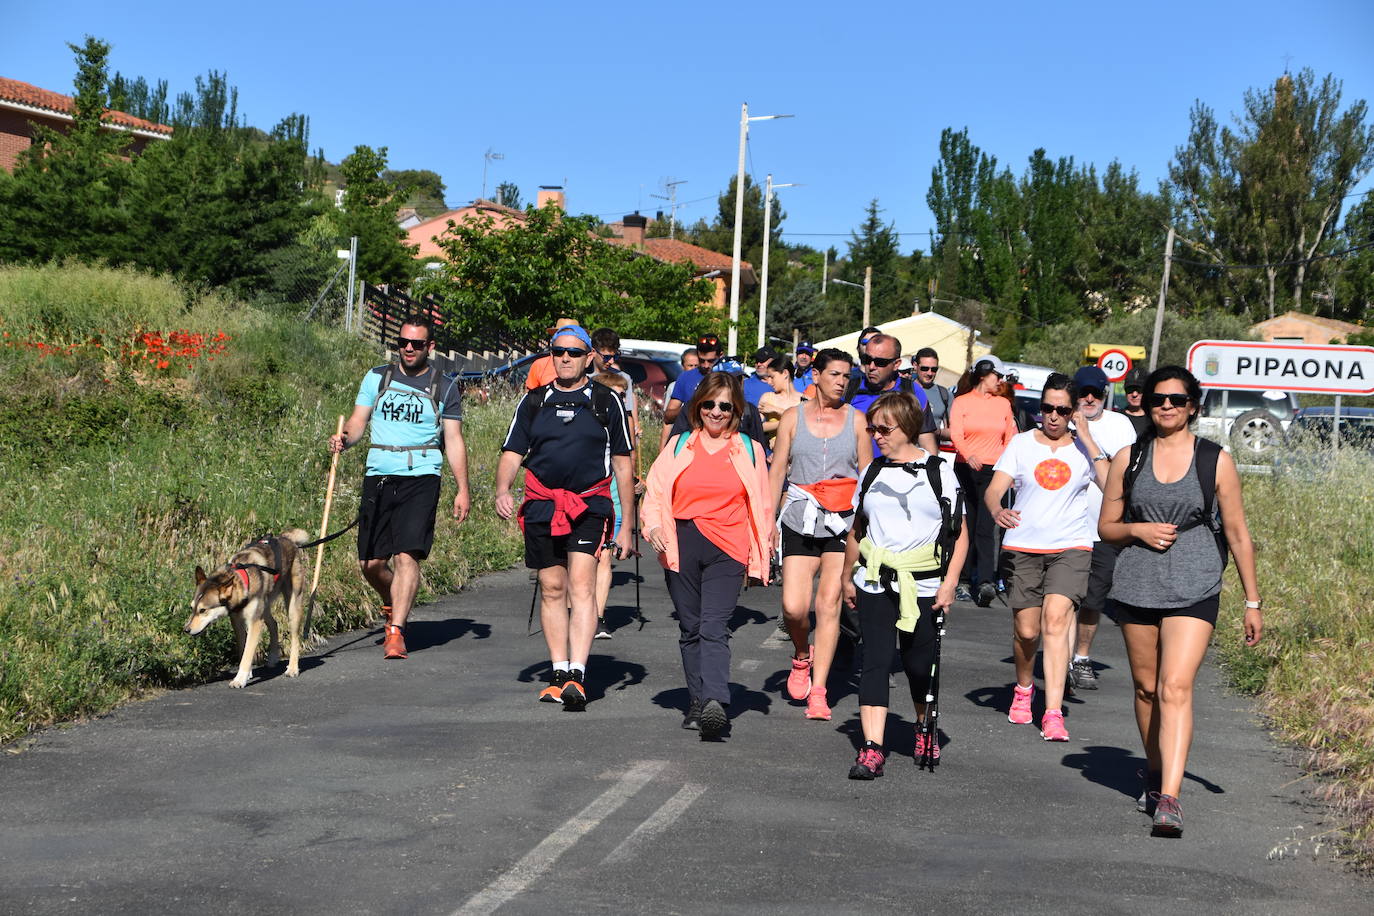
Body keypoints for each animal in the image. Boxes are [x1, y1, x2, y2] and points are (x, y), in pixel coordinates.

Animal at [182, 530, 309, 686]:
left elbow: (248, 652)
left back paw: (292, 668)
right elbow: (242, 649)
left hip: (292, 607)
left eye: (203, 610)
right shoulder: (237, 622)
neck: (243, 581)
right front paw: (247, 673)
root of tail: (287, 539)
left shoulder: (254, 623)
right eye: (192, 608)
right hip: (264, 607)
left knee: (295, 637)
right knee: (274, 624)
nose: (186, 630)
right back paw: (273, 657)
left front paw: (240, 678)